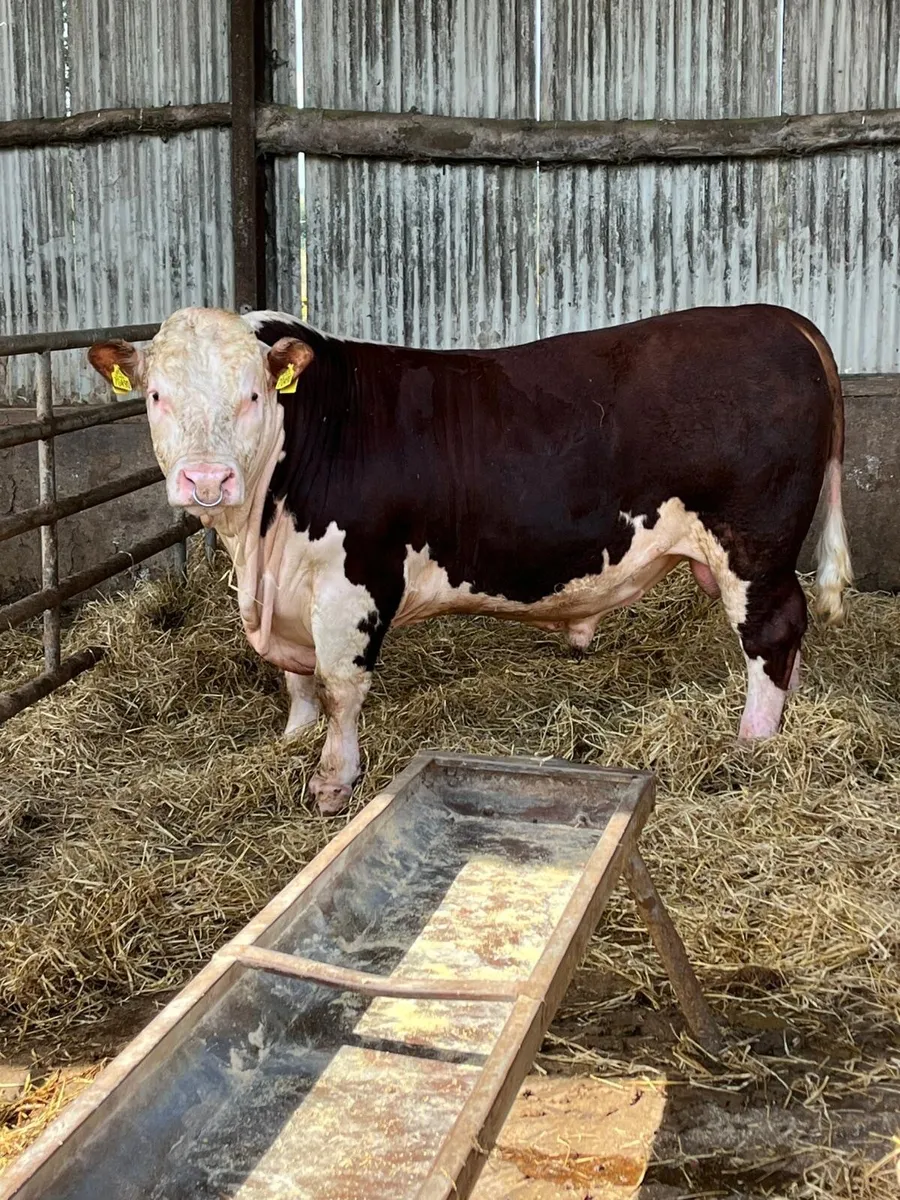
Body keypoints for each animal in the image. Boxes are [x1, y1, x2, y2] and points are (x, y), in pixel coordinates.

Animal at [88, 304, 852, 814]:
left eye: (251, 396)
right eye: (156, 396)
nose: (207, 479)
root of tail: (778, 319)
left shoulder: (354, 583)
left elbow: (339, 686)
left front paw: (334, 780)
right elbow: (297, 682)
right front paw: (291, 739)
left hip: (754, 544)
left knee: (773, 630)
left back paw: (752, 743)